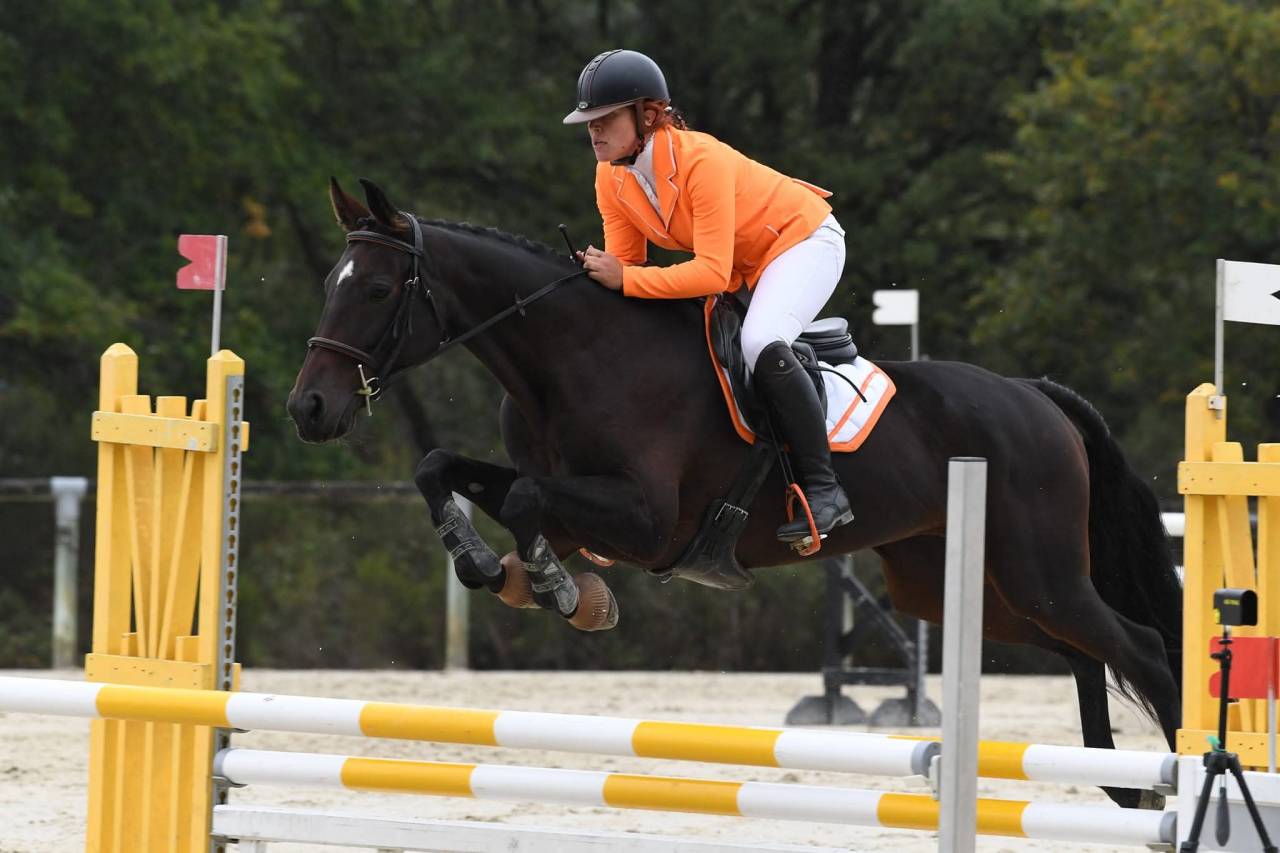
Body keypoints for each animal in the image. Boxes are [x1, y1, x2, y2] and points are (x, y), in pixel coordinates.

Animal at [287, 178, 1181, 810]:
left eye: (375, 291)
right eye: (330, 284)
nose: (308, 408)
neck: (575, 357)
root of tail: (1036, 396)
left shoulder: (647, 521)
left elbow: (526, 503)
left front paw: (560, 591)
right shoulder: (576, 498)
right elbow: (444, 469)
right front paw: (498, 569)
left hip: (1039, 570)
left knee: (1142, 647)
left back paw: (1178, 781)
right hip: (954, 584)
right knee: (1085, 651)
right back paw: (1121, 783)